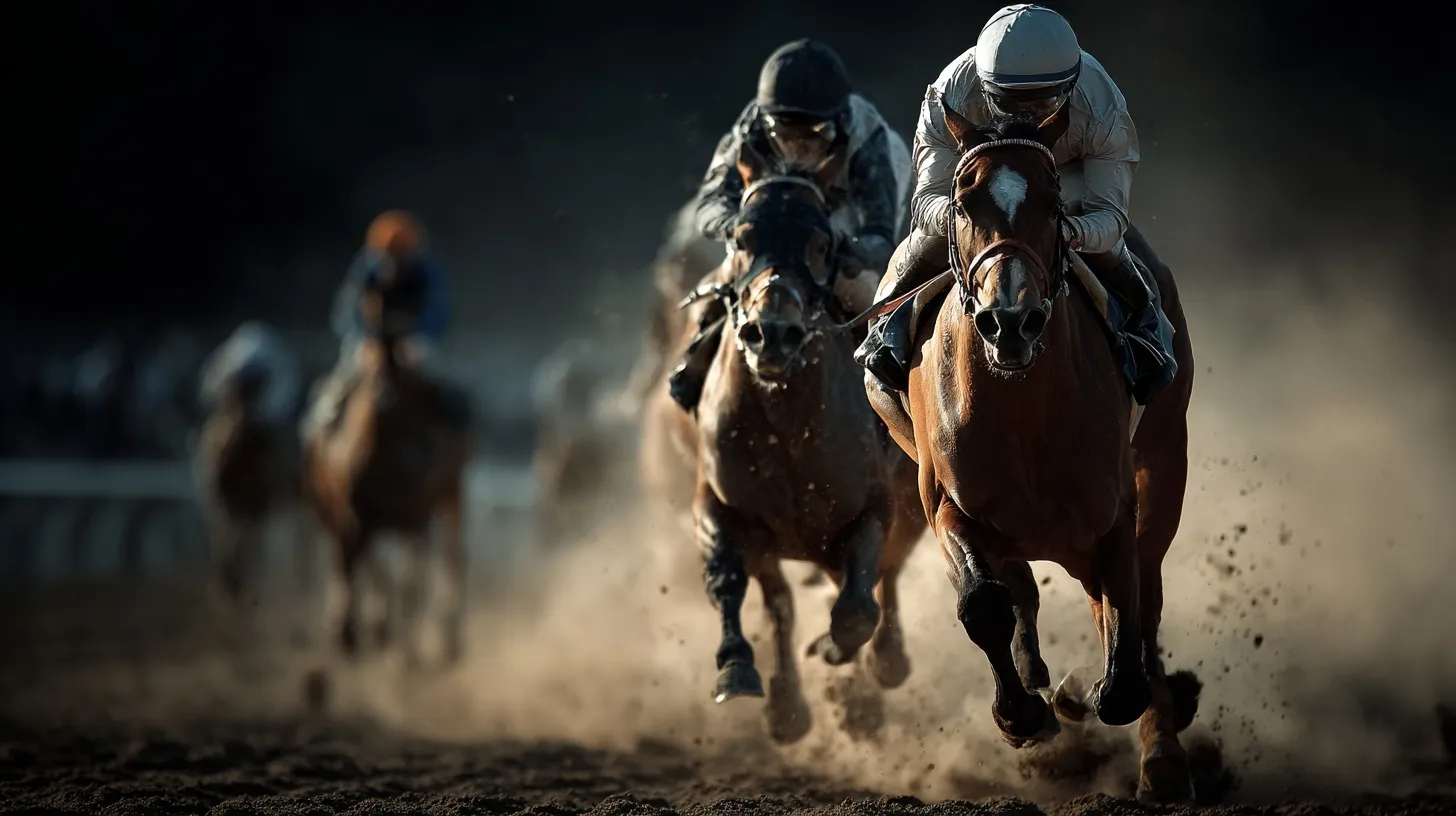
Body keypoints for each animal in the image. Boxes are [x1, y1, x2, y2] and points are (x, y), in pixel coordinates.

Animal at [301, 284, 474, 667]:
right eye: (371, 316)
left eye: (398, 332)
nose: (385, 393)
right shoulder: (354, 514)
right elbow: (357, 564)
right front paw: (354, 631)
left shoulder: (416, 517)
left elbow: (409, 580)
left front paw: (401, 646)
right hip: (328, 504)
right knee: (351, 557)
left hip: (452, 491)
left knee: (451, 557)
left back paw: (447, 636)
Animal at [654, 141, 926, 743]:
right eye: (741, 238)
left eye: (822, 242)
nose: (772, 333)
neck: (788, 428)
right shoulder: (719, 505)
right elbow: (736, 584)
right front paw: (744, 674)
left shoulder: (874, 507)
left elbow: (857, 607)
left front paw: (838, 652)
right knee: (788, 597)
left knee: (885, 578)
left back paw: (882, 666)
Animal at [864, 101, 1199, 803]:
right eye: (964, 200)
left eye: (1052, 201)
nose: (1009, 320)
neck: (1020, 412)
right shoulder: (948, 506)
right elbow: (984, 602)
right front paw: (1022, 714)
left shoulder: (1114, 508)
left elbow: (1127, 617)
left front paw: (1114, 697)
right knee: (1022, 588)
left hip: (1164, 460)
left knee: (1137, 599)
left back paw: (1159, 754)